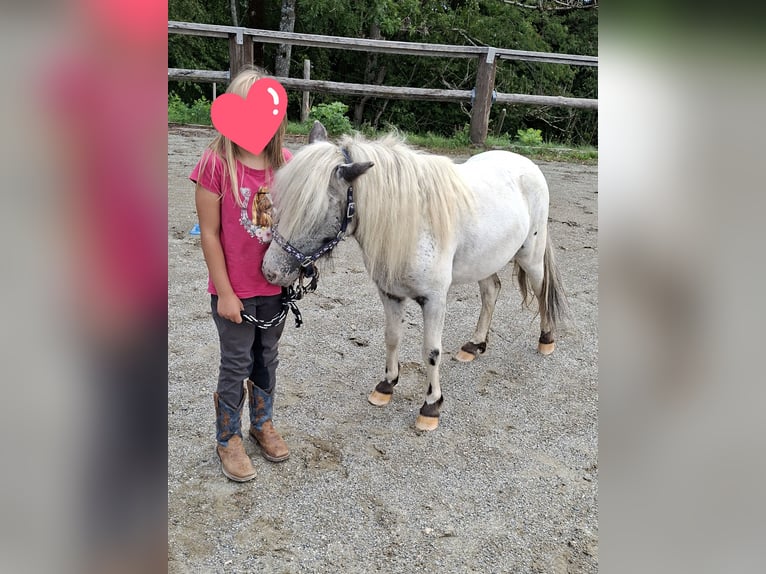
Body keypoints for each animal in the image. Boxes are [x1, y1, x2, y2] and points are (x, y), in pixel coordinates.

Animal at [262, 121, 568, 431]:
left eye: (314, 210)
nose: (270, 271)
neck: (412, 224)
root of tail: (525, 163)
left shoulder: (434, 300)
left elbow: (431, 352)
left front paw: (431, 406)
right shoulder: (390, 294)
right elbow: (392, 337)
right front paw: (386, 386)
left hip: (531, 258)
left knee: (541, 291)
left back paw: (546, 340)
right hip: (486, 260)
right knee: (491, 291)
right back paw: (475, 345)